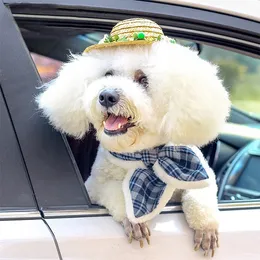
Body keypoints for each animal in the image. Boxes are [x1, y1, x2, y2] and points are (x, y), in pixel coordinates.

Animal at [36, 18, 230, 258]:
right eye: (108, 74)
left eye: (143, 79)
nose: (106, 96)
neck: (146, 152)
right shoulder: (96, 185)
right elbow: (116, 193)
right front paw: (134, 221)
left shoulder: (198, 172)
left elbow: (200, 195)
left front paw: (206, 228)